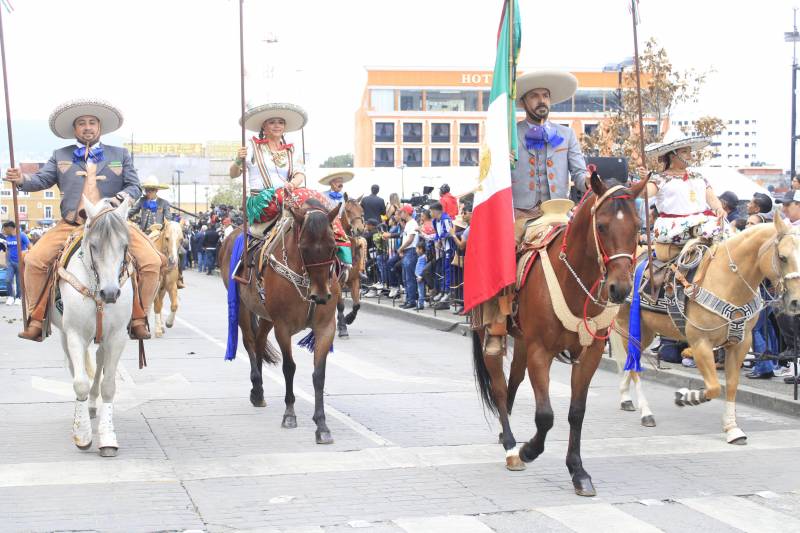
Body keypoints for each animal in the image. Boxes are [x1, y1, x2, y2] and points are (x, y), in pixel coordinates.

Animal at [51, 196, 134, 458]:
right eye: (94, 246)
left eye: (124, 245)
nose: (111, 293)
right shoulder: (75, 334)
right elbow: (79, 382)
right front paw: (83, 435)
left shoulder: (117, 337)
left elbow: (108, 385)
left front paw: (107, 437)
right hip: (65, 336)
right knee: (74, 367)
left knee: (98, 363)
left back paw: (92, 404)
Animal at [220, 193, 342, 442]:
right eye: (304, 247)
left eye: (333, 247)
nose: (320, 296)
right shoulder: (283, 328)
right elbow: (289, 368)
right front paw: (289, 414)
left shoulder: (326, 327)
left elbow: (319, 374)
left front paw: (322, 424)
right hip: (244, 308)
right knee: (249, 342)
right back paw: (257, 389)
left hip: (266, 316)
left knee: (258, 342)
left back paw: (258, 391)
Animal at [472, 175, 648, 494]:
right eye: (602, 226)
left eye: (638, 226)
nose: (620, 289)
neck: (573, 280)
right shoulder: (541, 352)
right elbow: (545, 415)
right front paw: (529, 450)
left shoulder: (589, 354)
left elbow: (576, 412)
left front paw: (578, 471)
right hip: (490, 333)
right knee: (500, 386)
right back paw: (510, 446)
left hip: (522, 341)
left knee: (513, 380)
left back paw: (507, 435)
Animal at [608, 215, 800, 440]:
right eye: (782, 256)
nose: (796, 301)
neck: (728, 281)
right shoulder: (700, 342)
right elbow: (714, 387)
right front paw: (686, 397)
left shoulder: (740, 343)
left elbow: (731, 385)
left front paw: (732, 428)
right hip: (630, 326)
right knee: (634, 365)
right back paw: (646, 412)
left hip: (647, 330)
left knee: (630, 362)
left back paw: (625, 398)